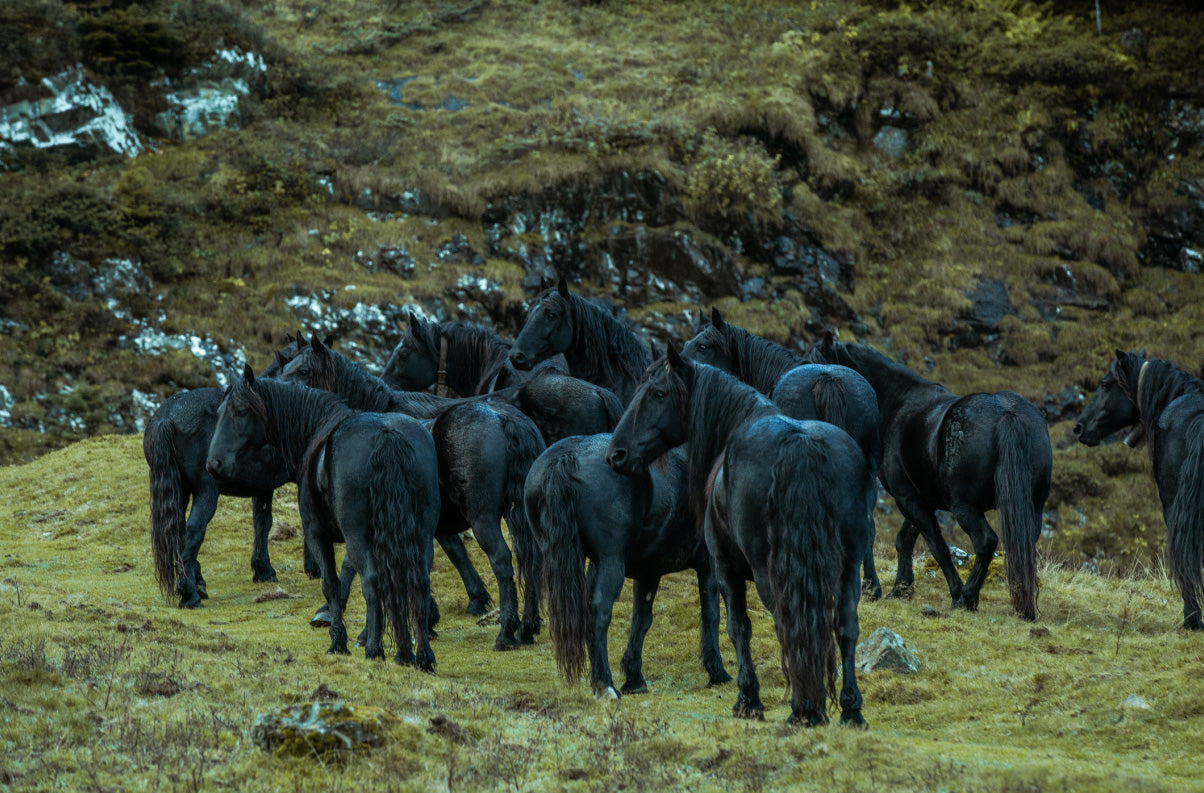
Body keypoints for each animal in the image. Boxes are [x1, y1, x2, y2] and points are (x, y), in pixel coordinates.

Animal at [207, 366, 439, 667]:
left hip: (359, 535)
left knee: (373, 581)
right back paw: (420, 657)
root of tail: (387, 434)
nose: (215, 464)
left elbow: (331, 585)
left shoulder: (317, 533)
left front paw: (338, 642)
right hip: (421, 533)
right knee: (418, 581)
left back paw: (375, 649)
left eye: (240, 410)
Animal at [280, 335, 546, 649]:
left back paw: (506, 632)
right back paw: (527, 627)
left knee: (503, 561)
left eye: (304, 371)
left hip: (484, 518)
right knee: (531, 560)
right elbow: (445, 555)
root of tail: (504, 419)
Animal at [525, 435, 730, 698]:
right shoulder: (708, 566)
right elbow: (711, 615)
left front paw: (634, 678)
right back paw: (604, 684)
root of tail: (566, 459)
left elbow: (641, 620)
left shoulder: (649, 572)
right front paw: (718, 672)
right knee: (599, 611)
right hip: (611, 562)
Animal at [606, 346, 873, 727]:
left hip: (769, 573)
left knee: (788, 624)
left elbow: (736, 627)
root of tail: (800, 443)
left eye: (657, 393)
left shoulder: (724, 568)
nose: (617, 454)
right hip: (848, 568)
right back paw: (850, 709)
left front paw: (748, 699)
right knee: (846, 627)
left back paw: (804, 707)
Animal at [804, 333, 1052, 620]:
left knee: (985, 541)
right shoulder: (922, 498)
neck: (897, 403)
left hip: (964, 506)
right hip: (1032, 507)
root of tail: (1006, 413)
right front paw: (901, 589)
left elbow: (936, 545)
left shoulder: (907, 496)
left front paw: (954, 593)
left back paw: (968, 597)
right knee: (1024, 546)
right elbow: (905, 540)